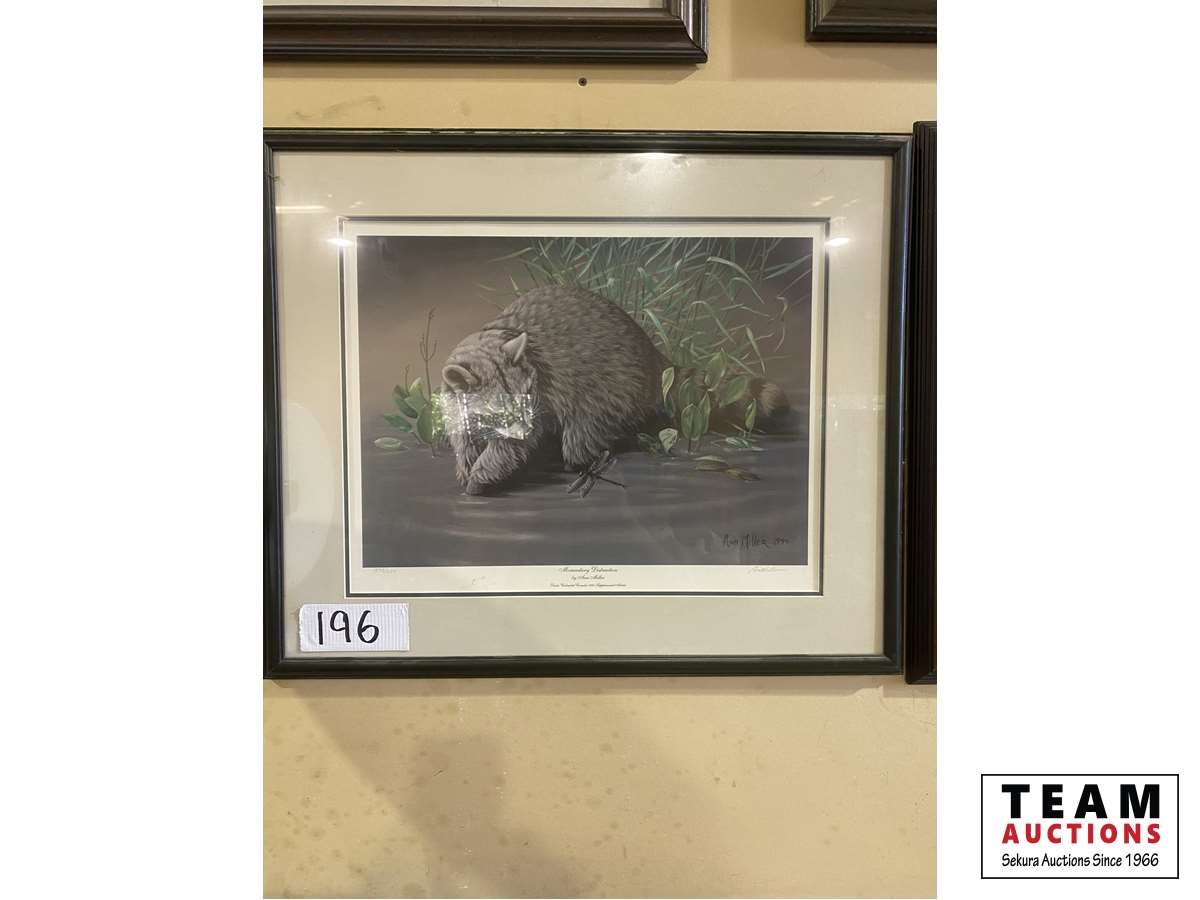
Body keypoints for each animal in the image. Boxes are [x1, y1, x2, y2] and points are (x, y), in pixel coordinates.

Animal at [440, 286, 789, 495]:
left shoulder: (543, 392)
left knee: (583, 434)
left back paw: (588, 459)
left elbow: (510, 447)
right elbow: (464, 436)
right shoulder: (456, 402)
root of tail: (651, 354)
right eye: (498, 409)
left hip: (610, 384)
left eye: (527, 397)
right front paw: (466, 463)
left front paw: (483, 473)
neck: (491, 337)